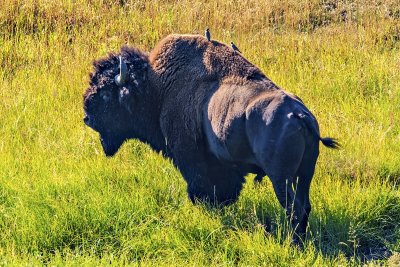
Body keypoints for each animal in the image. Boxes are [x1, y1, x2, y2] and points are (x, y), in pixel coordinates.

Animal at [83, 34, 340, 244]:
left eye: (106, 93)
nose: (87, 117)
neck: (157, 86)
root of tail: (300, 115)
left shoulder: (191, 158)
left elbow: (201, 186)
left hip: (281, 178)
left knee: (293, 208)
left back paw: (292, 243)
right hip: (305, 174)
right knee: (304, 206)